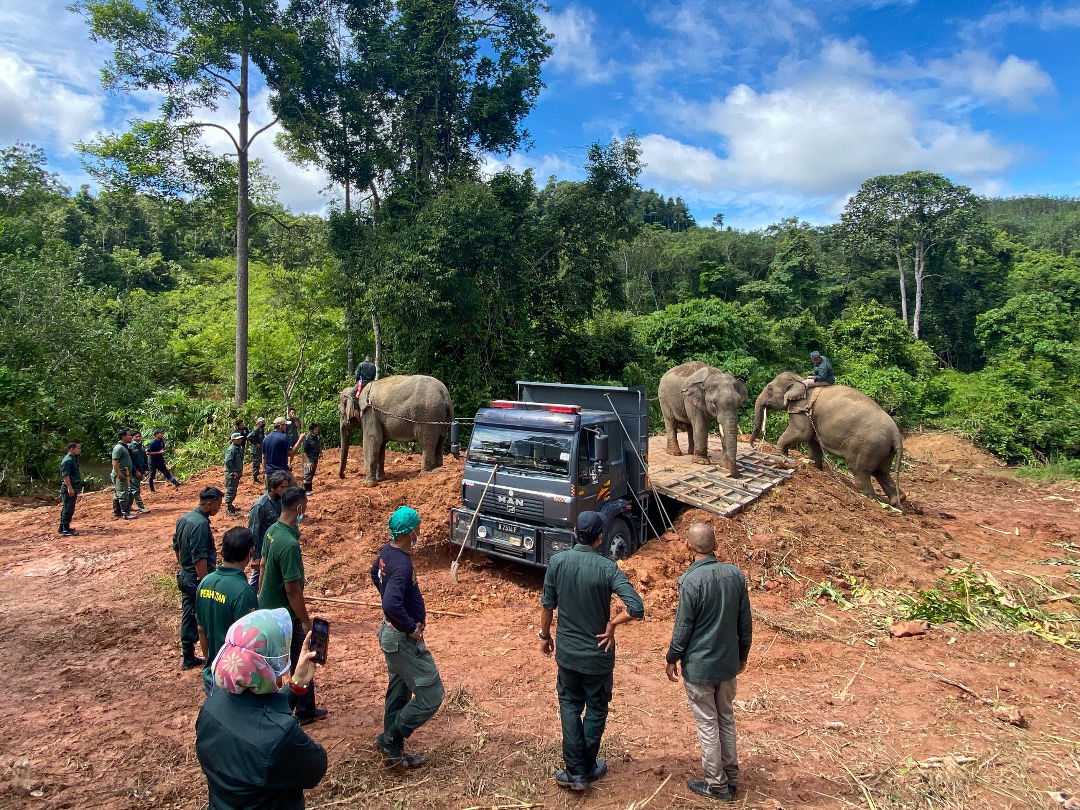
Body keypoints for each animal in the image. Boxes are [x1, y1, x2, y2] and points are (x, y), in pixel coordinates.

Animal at [747, 373, 907, 507]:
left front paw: (782, 455)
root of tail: (896, 434)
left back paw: (867, 497)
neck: (799, 380)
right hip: (884, 450)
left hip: (868, 446)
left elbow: (801, 432)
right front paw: (815, 466)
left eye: (769, 389)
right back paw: (898, 500)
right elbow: (812, 441)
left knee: (860, 470)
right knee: (883, 472)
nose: (753, 446)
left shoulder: (801, 408)